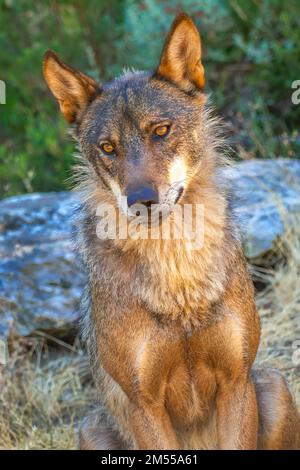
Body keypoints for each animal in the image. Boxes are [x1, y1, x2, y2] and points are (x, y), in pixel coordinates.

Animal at [42, 13, 300, 448]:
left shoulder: (236, 382)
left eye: (161, 130)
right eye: (108, 148)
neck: (178, 278)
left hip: (275, 386)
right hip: (90, 430)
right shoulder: (143, 404)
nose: (141, 200)